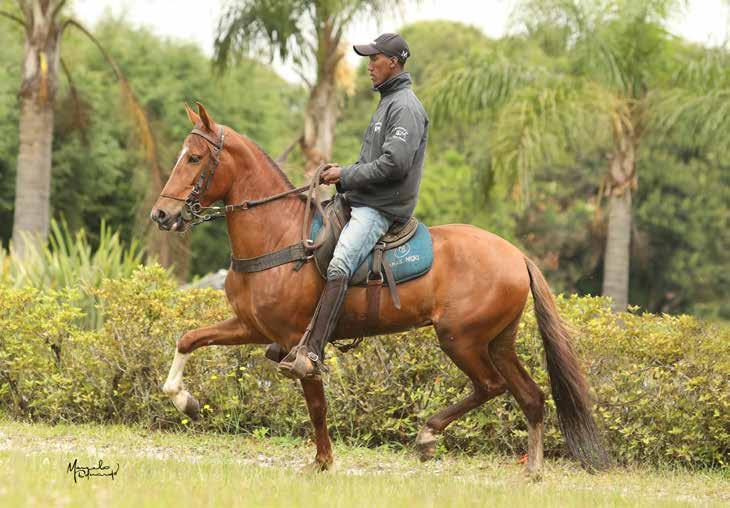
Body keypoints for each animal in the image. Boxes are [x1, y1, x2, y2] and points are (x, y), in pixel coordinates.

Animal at [151, 103, 604, 476]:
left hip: (461, 339)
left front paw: (323, 461)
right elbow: (189, 339)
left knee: (491, 387)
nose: (162, 215)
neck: (279, 236)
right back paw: (532, 470)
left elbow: (316, 405)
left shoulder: (298, 342)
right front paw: (183, 399)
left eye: (194, 158)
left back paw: (428, 435)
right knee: (530, 396)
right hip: (498, 342)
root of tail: (517, 256)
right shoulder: (251, 326)